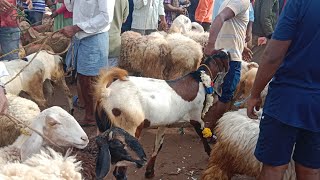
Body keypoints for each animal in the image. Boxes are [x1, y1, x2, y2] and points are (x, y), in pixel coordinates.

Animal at [95, 49, 230, 179]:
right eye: (225, 56)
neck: (199, 79)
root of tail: (107, 92)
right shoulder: (196, 117)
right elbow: (203, 135)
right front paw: (210, 152)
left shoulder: (164, 123)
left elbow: (158, 145)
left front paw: (149, 171)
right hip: (130, 129)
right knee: (120, 172)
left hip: (104, 129)